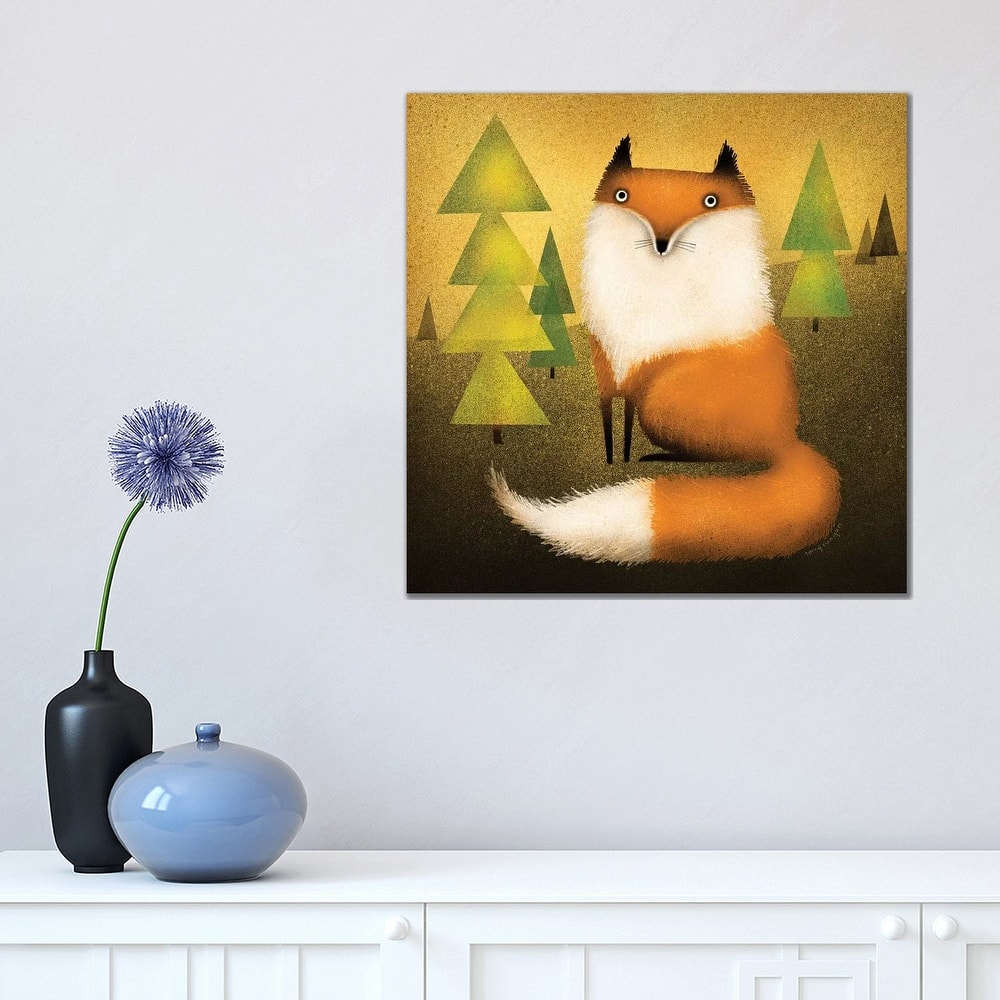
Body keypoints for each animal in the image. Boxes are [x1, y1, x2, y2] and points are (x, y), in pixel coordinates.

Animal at [490, 135, 841, 563]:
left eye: (710, 201)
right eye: (623, 195)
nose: (661, 243)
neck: (656, 284)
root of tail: (790, 439)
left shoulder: (639, 361)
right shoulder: (608, 366)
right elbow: (613, 424)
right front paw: (614, 455)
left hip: (662, 403)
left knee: (726, 455)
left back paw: (667, 456)